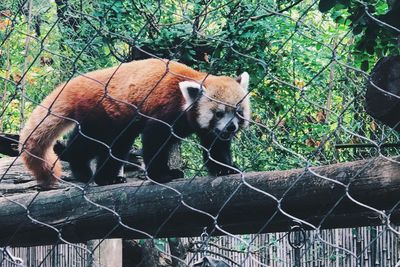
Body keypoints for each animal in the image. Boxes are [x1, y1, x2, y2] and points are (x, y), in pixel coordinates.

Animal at [19, 58, 250, 188]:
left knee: (115, 147)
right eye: (219, 113)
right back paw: (80, 166)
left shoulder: (208, 129)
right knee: (89, 144)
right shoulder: (164, 109)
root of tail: (78, 83)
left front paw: (225, 169)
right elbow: (154, 141)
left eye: (238, 112)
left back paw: (107, 178)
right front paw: (161, 174)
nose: (231, 127)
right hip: (100, 116)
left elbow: (216, 146)